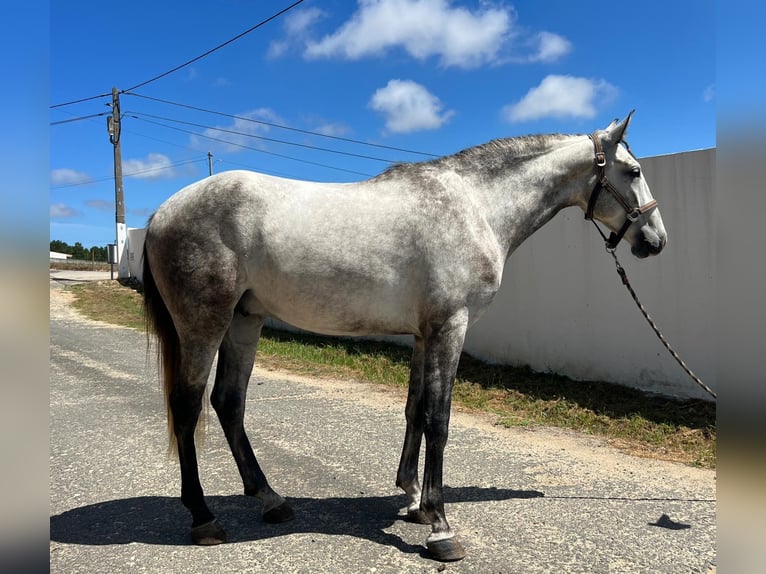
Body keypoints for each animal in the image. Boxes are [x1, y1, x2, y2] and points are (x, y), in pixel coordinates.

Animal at [142, 113, 664, 564]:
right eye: (634, 170)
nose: (655, 241)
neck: (475, 205)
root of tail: (163, 212)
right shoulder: (451, 327)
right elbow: (439, 419)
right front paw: (441, 526)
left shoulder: (423, 335)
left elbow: (415, 409)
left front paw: (414, 501)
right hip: (205, 324)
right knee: (187, 407)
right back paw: (204, 519)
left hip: (245, 321)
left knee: (228, 402)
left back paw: (271, 500)